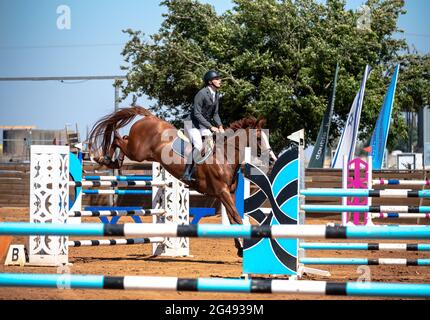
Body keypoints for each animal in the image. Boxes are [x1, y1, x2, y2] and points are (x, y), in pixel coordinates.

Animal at [88, 106, 278, 256]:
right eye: (259, 138)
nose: (272, 159)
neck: (225, 156)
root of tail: (150, 117)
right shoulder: (222, 192)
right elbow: (238, 219)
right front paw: (243, 247)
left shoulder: (227, 193)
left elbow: (234, 220)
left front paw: (239, 248)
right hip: (138, 152)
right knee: (120, 139)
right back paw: (105, 159)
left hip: (139, 152)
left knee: (124, 139)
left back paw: (115, 161)